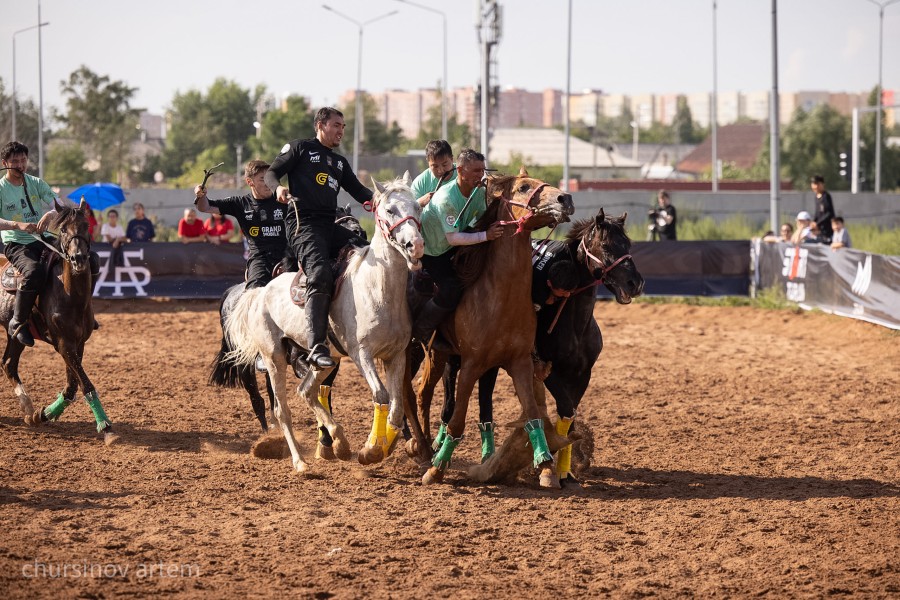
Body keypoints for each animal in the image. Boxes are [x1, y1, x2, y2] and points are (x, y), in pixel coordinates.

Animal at [0, 199, 116, 442]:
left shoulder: (78, 344)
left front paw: (42, 415)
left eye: (86, 226)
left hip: (13, 335)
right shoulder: (64, 344)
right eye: (63, 229)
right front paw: (105, 426)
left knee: (8, 364)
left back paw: (28, 407)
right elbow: (85, 385)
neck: (70, 294)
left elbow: (71, 387)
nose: (79, 258)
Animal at [404, 168, 572, 488]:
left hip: (438, 354)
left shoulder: (519, 363)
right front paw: (438, 469)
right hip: (414, 352)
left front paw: (545, 465)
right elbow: (457, 419)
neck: (500, 296)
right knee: (408, 393)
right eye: (523, 187)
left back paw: (426, 447)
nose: (565, 198)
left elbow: (533, 414)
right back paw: (420, 450)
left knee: (422, 394)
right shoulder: (472, 364)